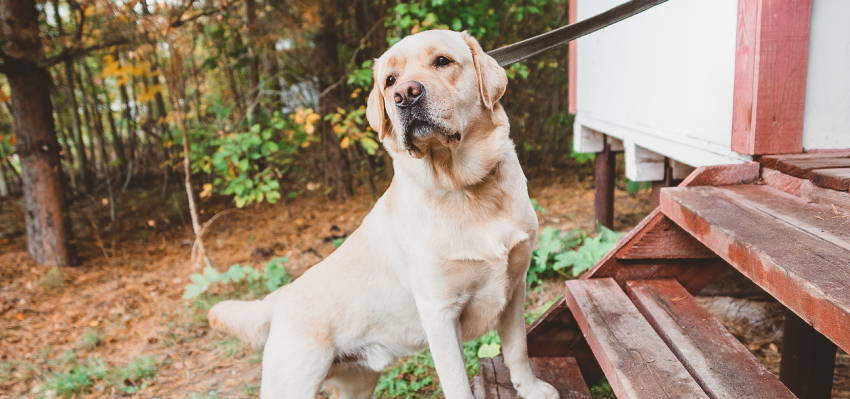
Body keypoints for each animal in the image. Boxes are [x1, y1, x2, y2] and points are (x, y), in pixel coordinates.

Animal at [210, 30, 560, 399]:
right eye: (389, 81)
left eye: (443, 61)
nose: (405, 94)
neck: (465, 188)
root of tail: (279, 298)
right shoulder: (439, 312)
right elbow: (458, 382)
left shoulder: (515, 286)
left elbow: (518, 348)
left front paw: (531, 388)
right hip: (293, 381)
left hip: (358, 381)